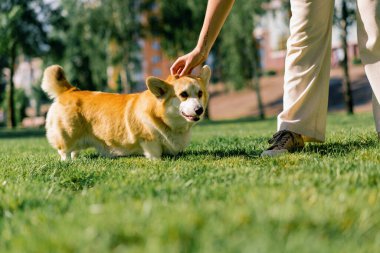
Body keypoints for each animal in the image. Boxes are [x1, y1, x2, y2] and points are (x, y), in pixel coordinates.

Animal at [42, 65, 211, 160]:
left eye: (200, 93)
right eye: (183, 94)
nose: (200, 110)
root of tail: (69, 90)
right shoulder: (148, 139)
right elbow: (154, 152)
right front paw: (157, 161)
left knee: (74, 150)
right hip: (67, 133)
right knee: (64, 151)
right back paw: (67, 162)